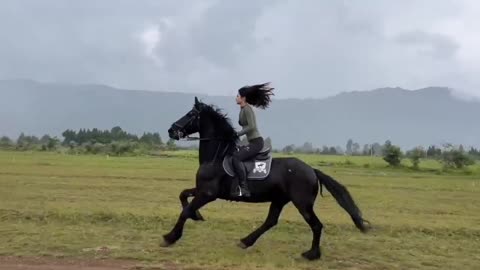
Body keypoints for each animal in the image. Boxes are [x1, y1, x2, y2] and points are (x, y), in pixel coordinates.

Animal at [162, 97, 372, 260]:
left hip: (302, 204)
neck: (217, 156)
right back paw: (246, 241)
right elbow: (183, 195)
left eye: (191, 114)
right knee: (271, 221)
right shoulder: (203, 190)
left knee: (316, 225)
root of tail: (311, 170)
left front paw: (170, 237)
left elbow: (185, 211)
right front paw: (196, 216)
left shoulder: (208, 194)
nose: (171, 130)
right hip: (280, 199)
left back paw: (311, 254)